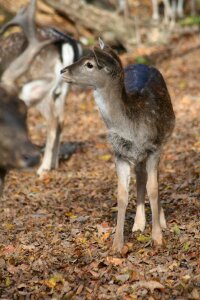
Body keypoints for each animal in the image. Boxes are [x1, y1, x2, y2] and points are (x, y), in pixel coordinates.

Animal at [0, 0, 81, 177]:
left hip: (44, 86)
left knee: (52, 120)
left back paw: (43, 168)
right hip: (64, 88)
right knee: (61, 119)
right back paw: (54, 163)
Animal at [61, 38, 175, 253]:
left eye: (90, 64)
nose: (63, 70)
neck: (131, 126)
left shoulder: (154, 147)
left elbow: (153, 188)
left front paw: (157, 238)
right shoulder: (119, 153)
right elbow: (122, 194)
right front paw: (117, 244)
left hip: (163, 139)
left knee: (152, 178)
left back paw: (160, 221)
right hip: (136, 156)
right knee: (140, 176)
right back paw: (138, 224)